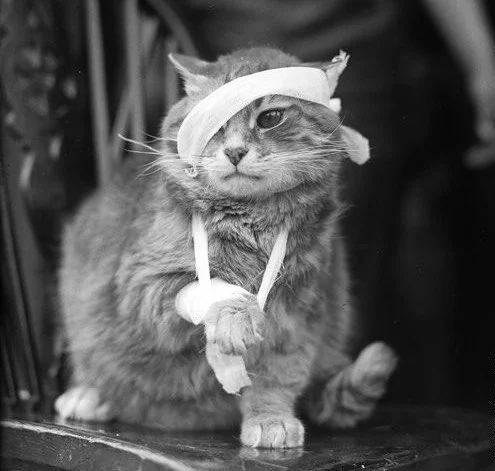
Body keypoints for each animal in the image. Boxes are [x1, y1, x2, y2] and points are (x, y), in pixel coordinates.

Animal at [55, 48, 400, 450]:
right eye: (213, 125)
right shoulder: (144, 286)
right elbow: (218, 297)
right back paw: (88, 396)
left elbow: (276, 377)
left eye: (270, 118)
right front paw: (238, 316)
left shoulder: (297, 317)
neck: (251, 223)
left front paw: (270, 418)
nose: (235, 151)